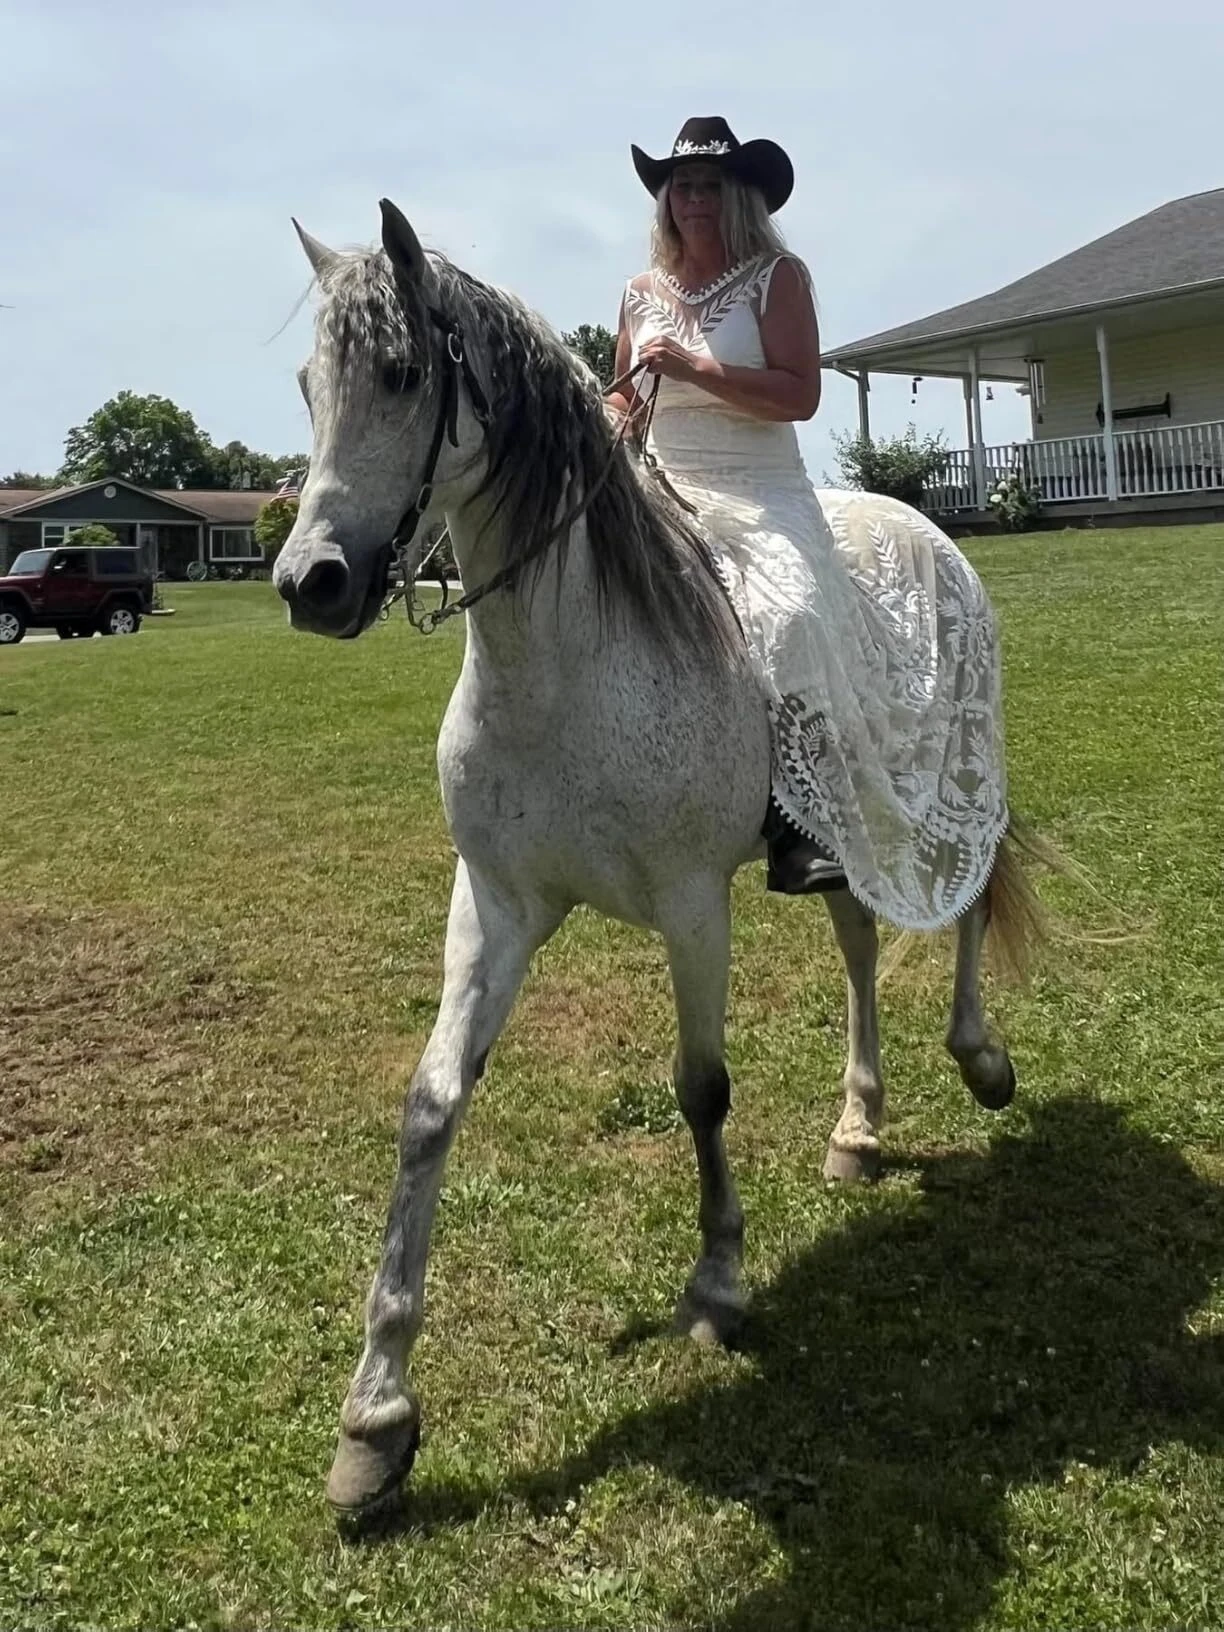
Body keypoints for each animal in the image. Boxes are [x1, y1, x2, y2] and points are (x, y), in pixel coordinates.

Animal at [273, 199, 1041, 1519]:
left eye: (405, 373)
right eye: (311, 383)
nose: (309, 584)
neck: (569, 664)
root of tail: (925, 528)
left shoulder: (693, 905)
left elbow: (702, 1090)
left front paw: (719, 1284)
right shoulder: (495, 905)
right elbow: (432, 1103)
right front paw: (376, 1417)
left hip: (942, 791)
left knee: (967, 899)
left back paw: (980, 1060)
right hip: (839, 833)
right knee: (860, 944)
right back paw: (858, 1127)